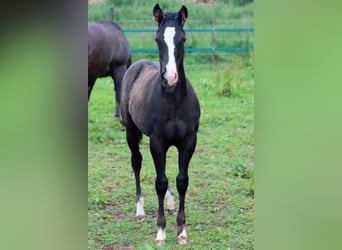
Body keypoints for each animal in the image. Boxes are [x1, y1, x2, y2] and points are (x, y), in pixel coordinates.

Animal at [120, 3, 200, 246]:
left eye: (182, 38)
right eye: (157, 39)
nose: (170, 77)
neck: (174, 102)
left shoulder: (188, 141)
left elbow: (182, 180)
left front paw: (181, 231)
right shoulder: (157, 142)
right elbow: (160, 182)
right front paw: (161, 232)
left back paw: (170, 202)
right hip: (131, 131)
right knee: (136, 162)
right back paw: (139, 209)